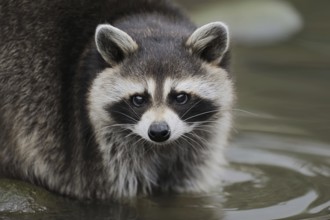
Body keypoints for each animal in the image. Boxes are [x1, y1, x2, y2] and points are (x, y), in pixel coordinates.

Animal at [0, 0, 233, 199]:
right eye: (139, 99)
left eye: (180, 97)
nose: (158, 132)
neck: (151, 23)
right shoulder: (93, 145)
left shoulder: (201, 140)